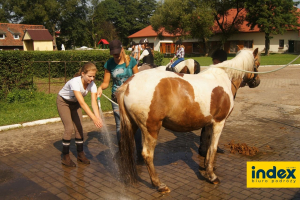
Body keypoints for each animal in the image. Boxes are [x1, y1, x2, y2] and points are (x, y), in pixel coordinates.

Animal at [116, 48, 260, 192]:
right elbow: (213, 148)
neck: (224, 78)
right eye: (257, 63)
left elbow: (207, 146)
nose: (257, 82)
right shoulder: (219, 123)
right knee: (147, 154)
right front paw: (212, 176)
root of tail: (128, 84)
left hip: (133, 125)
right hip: (151, 128)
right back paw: (159, 184)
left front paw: (206, 169)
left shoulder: (209, 123)